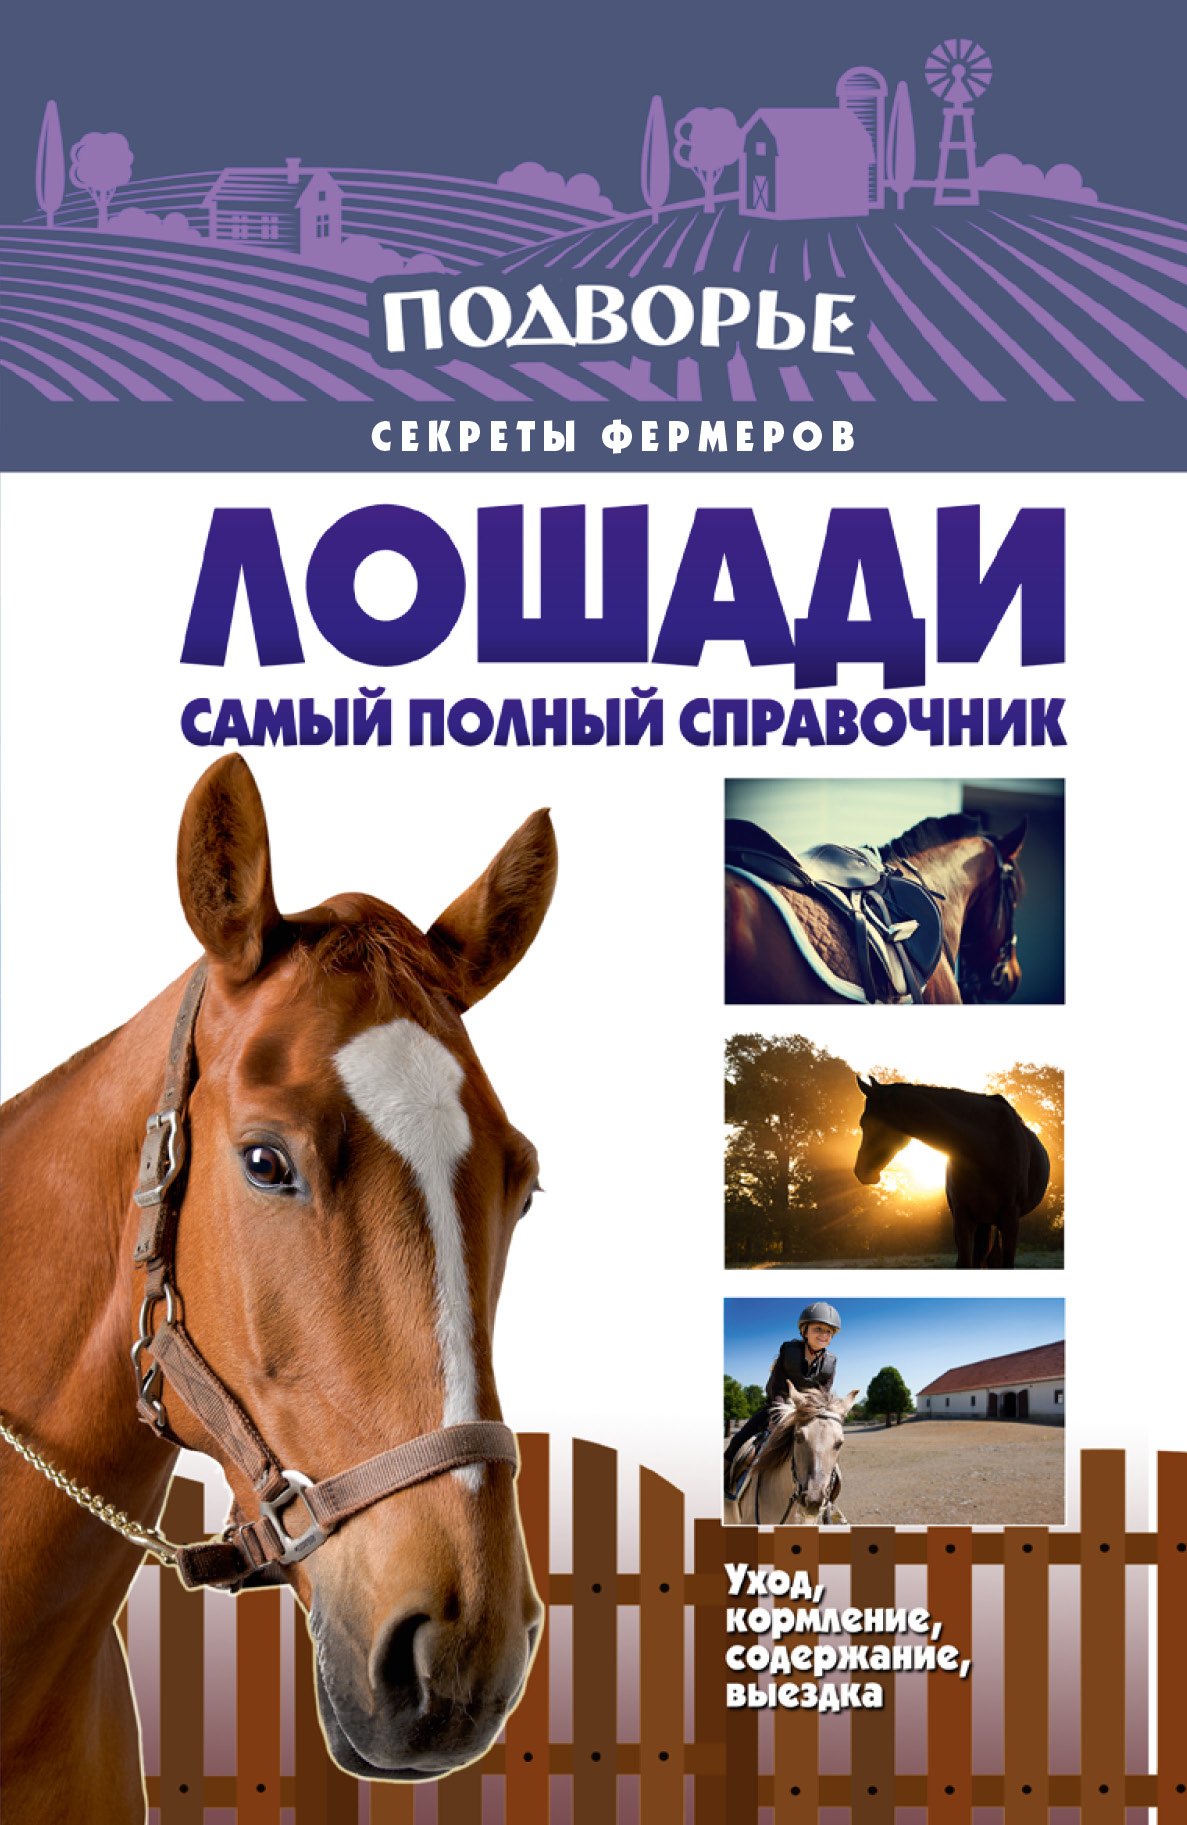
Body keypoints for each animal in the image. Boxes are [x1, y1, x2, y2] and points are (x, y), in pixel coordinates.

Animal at [854, 1076, 1051, 1269]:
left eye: (866, 1123)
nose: (860, 1171)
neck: (989, 1148)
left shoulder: (1010, 1219)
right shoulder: (962, 1216)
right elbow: (965, 1262)